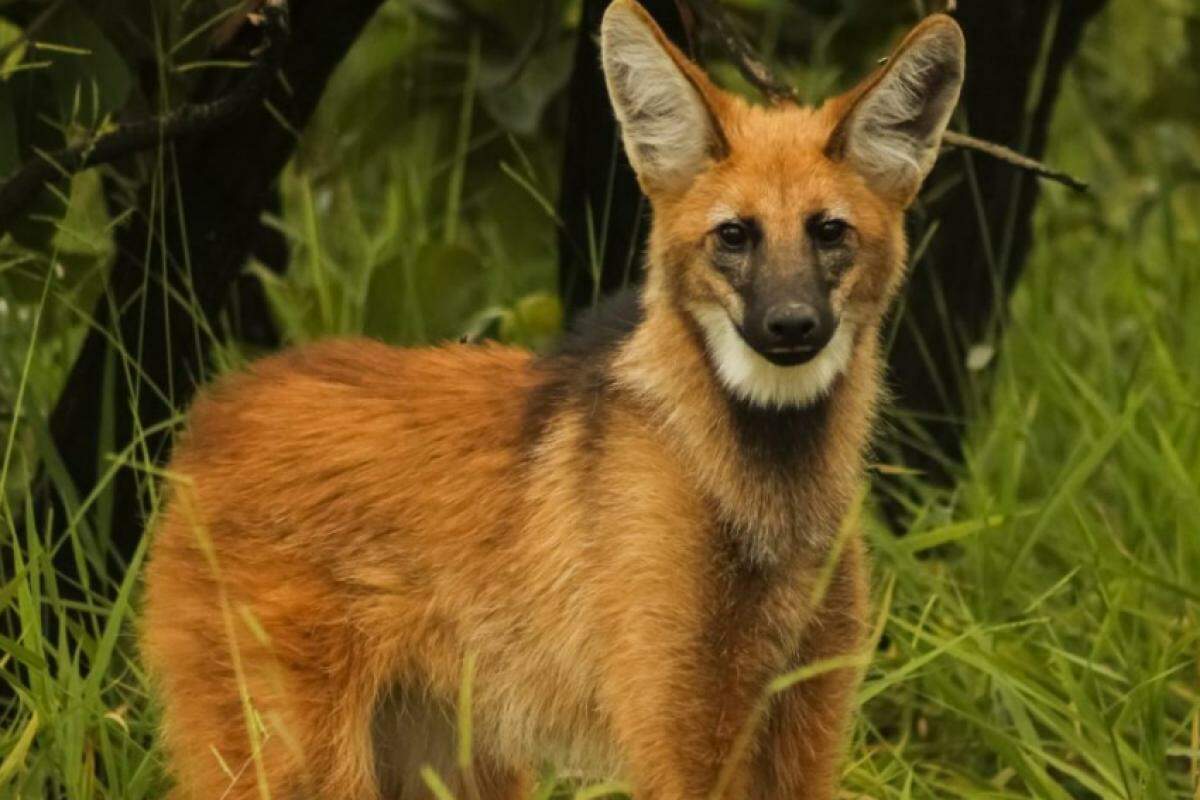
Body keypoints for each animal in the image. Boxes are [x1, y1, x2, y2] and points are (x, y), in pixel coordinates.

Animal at [140, 3, 964, 796]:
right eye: (734, 236)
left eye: (830, 232)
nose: (790, 325)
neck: (766, 496)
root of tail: (220, 401)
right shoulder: (680, 716)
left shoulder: (805, 708)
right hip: (300, 759)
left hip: (453, 757)